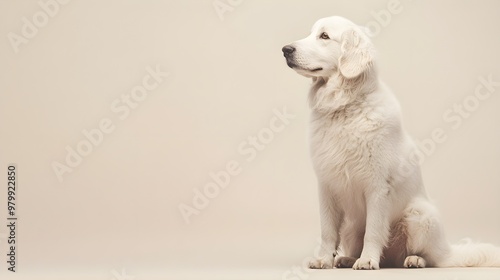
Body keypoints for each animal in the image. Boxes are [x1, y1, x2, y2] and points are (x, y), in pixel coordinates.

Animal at [284, 15, 498, 270]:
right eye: (311, 33)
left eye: (324, 36)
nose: (285, 50)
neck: (345, 108)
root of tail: (448, 250)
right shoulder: (326, 187)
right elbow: (327, 231)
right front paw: (324, 260)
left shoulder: (378, 187)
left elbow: (374, 231)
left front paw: (367, 260)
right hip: (351, 227)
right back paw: (348, 258)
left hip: (420, 215)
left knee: (431, 258)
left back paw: (413, 260)